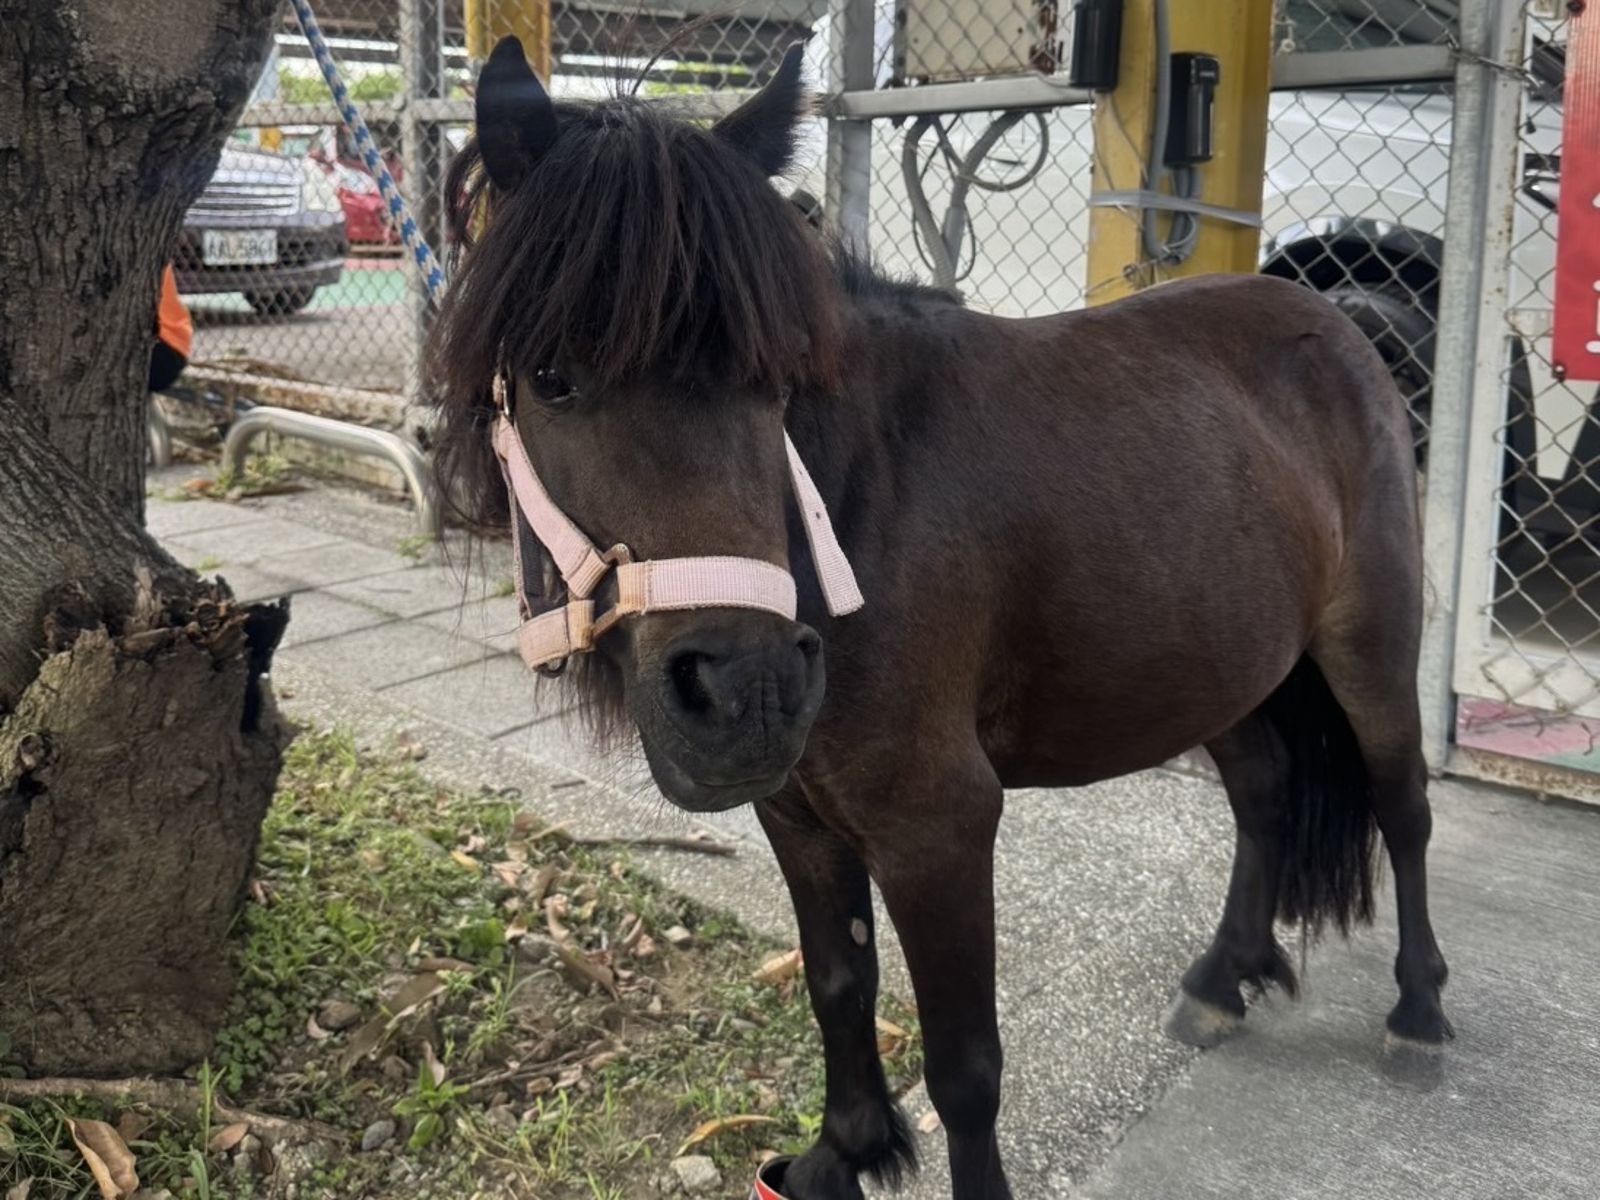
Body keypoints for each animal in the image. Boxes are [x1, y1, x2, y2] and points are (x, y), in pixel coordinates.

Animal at [429, 38, 1450, 1200]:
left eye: (777, 379)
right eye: (550, 377)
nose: (751, 694)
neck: (853, 504)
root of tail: (1336, 329)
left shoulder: (938, 823)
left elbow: (963, 1064)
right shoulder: (799, 814)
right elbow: (836, 984)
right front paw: (842, 1154)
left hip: (1367, 646)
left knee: (1403, 805)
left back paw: (1418, 1011)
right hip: (1224, 666)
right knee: (1268, 794)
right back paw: (1221, 980)